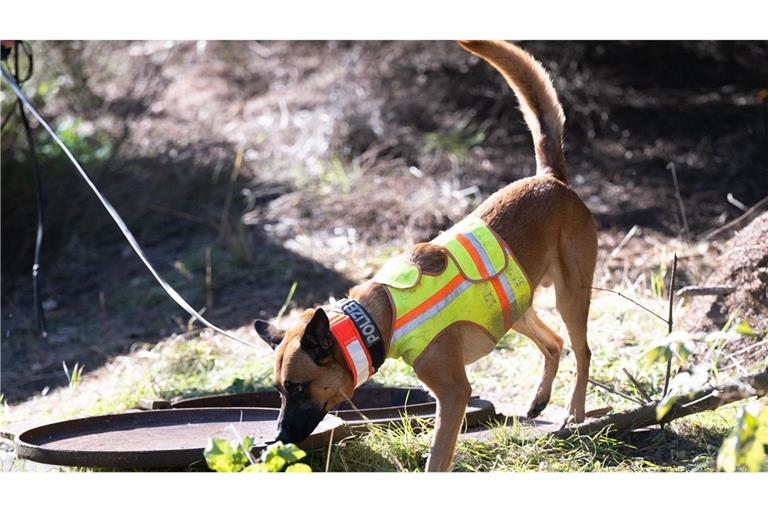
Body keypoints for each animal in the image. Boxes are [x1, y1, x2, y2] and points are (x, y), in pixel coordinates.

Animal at [255, 40, 596, 472]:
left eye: (298, 387)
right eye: (279, 391)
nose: (278, 437)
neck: (379, 317)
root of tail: (550, 178)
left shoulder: (453, 394)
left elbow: (438, 457)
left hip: (571, 295)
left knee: (582, 350)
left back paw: (575, 414)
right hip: (515, 304)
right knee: (553, 343)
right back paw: (540, 400)